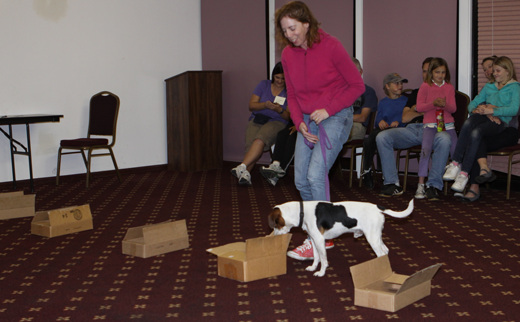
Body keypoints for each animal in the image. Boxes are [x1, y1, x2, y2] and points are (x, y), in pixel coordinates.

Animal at [268, 199, 414, 276]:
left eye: (275, 225)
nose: (273, 237)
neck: (301, 212)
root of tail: (378, 208)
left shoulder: (320, 240)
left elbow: (323, 260)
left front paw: (321, 272)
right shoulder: (314, 240)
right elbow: (316, 257)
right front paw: (313, 267)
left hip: (372, 238)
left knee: (382, 254)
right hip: (377, 237)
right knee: (386, 252)